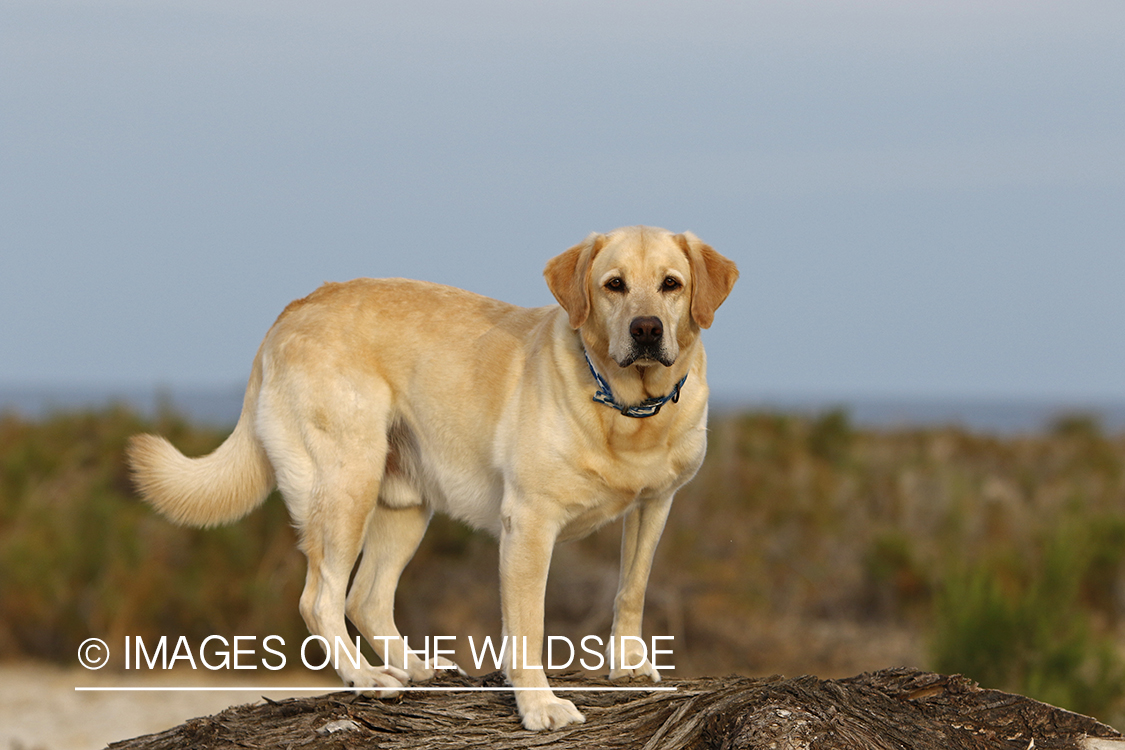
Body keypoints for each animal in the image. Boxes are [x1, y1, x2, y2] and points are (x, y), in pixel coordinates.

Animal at [127, 226, 738, 728]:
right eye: (613, 285)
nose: (646, 329)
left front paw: (629, 665)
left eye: (671, 284)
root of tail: (293, 309)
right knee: (320, 599)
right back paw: (367, 678)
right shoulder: (529, 524)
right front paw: (540, 707)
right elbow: (527, 627)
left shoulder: (655, 505)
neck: (628, 412)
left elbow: (631, 589)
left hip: (405, 506)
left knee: (365, 599)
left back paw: (417, 668)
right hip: (346, 486)